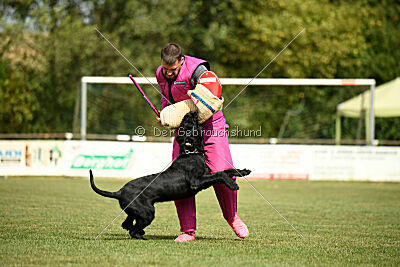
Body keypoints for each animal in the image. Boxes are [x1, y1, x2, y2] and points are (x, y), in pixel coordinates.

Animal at [90, 111, 250, 241]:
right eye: (189, 125)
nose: (190, 112)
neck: (190, 153)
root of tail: (119, 191)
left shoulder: (207, 176)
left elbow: (226, 170)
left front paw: (243, 171)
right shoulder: (197, 182)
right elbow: (221, 174)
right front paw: (233, 184)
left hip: (135, 212)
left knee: (127, 224)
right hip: (147, 212)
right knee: (133, 230)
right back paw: (142, 236)